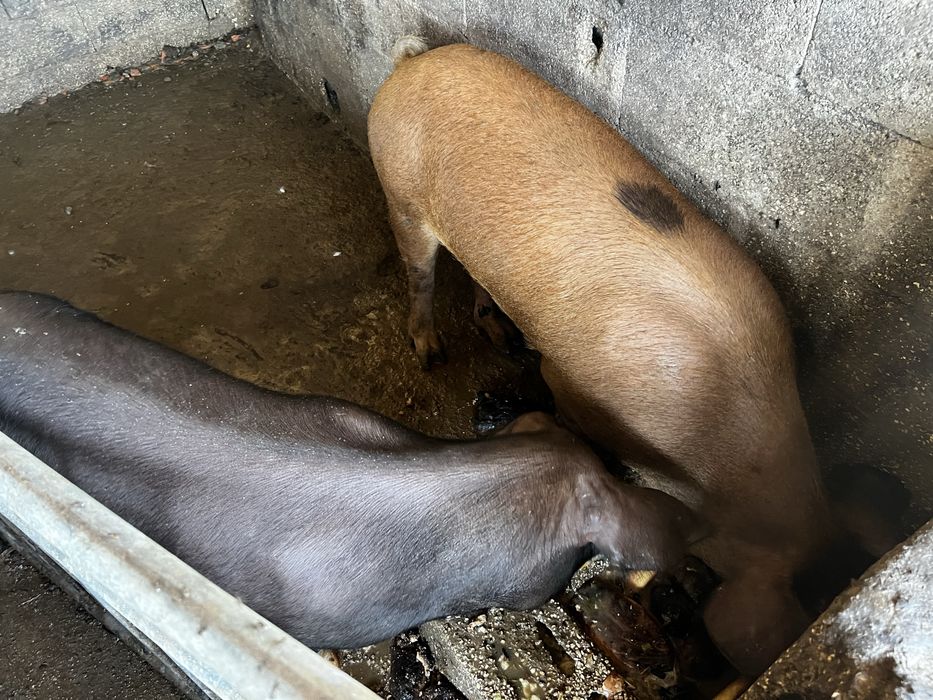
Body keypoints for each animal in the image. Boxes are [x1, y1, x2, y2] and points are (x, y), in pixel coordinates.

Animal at [368, 38, 839, 674]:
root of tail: (413, 63)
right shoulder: (573, 385)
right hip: (401, 192)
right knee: (420, 274)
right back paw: (431, 354)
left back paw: (500, 336)